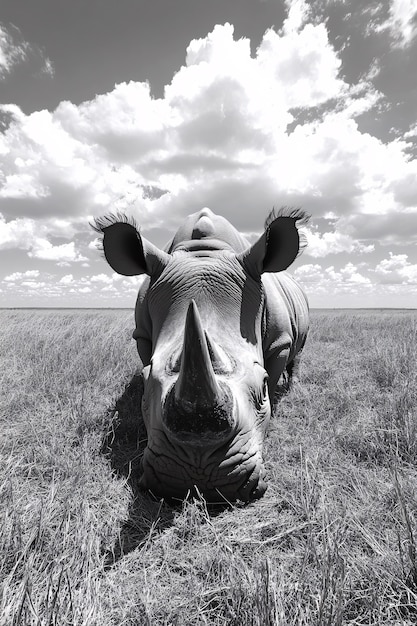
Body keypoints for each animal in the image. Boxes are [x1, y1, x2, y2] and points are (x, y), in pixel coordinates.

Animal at [95, 207, 308, 500]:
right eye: (145, 385)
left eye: (263, 387)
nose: (199, 477)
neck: (204, 254)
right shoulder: (142, 334)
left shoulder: (280, 341)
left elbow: (277, 365)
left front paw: (273, 409)